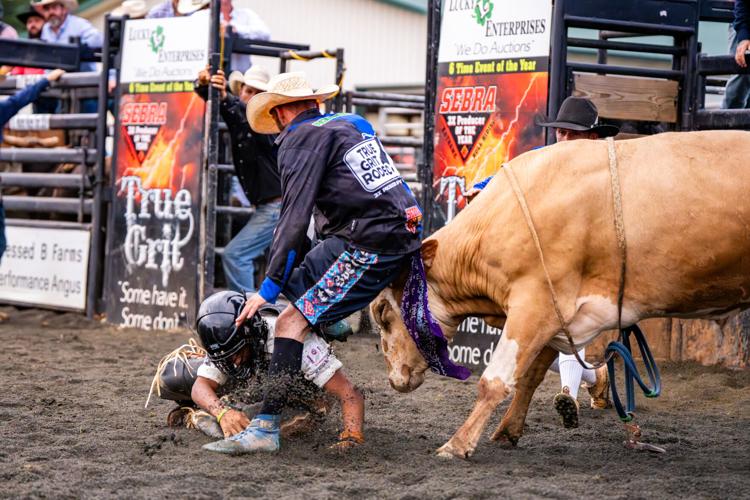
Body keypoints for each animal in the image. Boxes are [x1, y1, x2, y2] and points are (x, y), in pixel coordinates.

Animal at [370, 130, 750, 459]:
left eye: (383, 313)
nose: (393, 379)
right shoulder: (558, 314)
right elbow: (530, 377)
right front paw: (507, 431)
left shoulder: (533, 304)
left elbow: (495, 380)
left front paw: (457, 444)